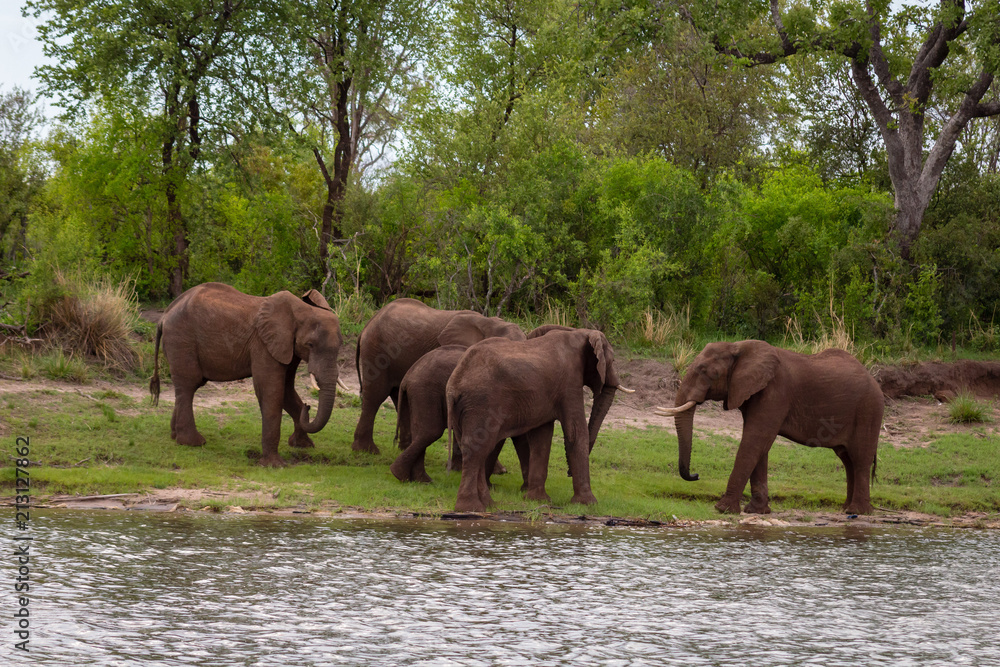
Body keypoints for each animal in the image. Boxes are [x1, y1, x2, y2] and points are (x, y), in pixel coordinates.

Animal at [149, 282, 344, 467]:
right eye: (310, 345)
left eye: (340, 345)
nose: (308, 406)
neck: (299, 310)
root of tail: (164, 316)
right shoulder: (263, 344)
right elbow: (271, 390)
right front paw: (275, 465)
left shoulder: (287, 347)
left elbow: (286, 391)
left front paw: (303, 446)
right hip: (181, 339)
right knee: (189, 384)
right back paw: (193, 443)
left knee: (188, 387)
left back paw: (176, 437)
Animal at [351, 298, 525, 454]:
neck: (489, 322)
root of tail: (369, 322)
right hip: (377, 350)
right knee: (376, 395)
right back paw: (368, 450)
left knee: (398, 396)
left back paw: (404, 448)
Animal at [446, 328, 628, 512]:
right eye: (612, 360)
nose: (568, 472)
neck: (579, 333)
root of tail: (455, 383)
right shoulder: (570, 381)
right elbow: (575, 433)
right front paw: (588, 503)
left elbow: (542, 437)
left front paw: (537, 500)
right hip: (482, 403)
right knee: (477, 448)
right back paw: (471, 508)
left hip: (464, 409)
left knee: (475, 447)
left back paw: (489, 504)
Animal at [656, 340, 883, 515]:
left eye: (704, 371)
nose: (696, 475)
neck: (739, 347)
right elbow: (760, 446)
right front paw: (756, 511)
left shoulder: (776, 392)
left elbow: (754, 441)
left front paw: (723, 509)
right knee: (847, 460)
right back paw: (847, 509)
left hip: (868, 410)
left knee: (859, 458)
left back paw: (857, 511)